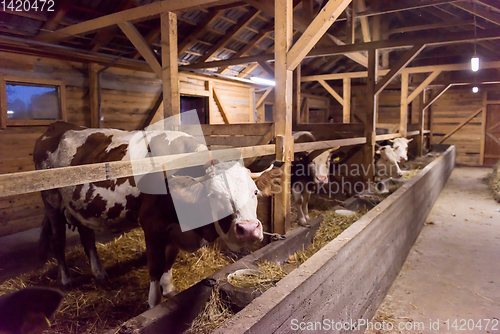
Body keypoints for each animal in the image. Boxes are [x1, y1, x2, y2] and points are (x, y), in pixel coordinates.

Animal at [34, 122, 274, 308]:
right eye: (214, 195)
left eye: (255, 192)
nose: (249, 229)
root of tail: (58, 126)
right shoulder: (151, 225)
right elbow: (155, 266)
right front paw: (154, 302)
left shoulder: (174, 228)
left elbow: (169, 259)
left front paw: (169, 289)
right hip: (51, 201)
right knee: (58, 240)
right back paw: (65, 280)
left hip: (81, 206)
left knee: (87, 237)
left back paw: (99, 273)